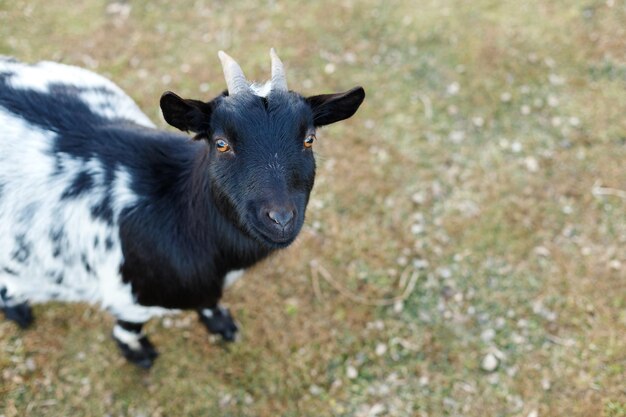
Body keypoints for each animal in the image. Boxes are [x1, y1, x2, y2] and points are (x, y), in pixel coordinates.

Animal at [0, 50, 364, 366]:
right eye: (221, 143)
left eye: (309, 139)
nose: (281, 218)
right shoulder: (126, 299)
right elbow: (127, 330)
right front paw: (139, 354)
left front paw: (222, 325)